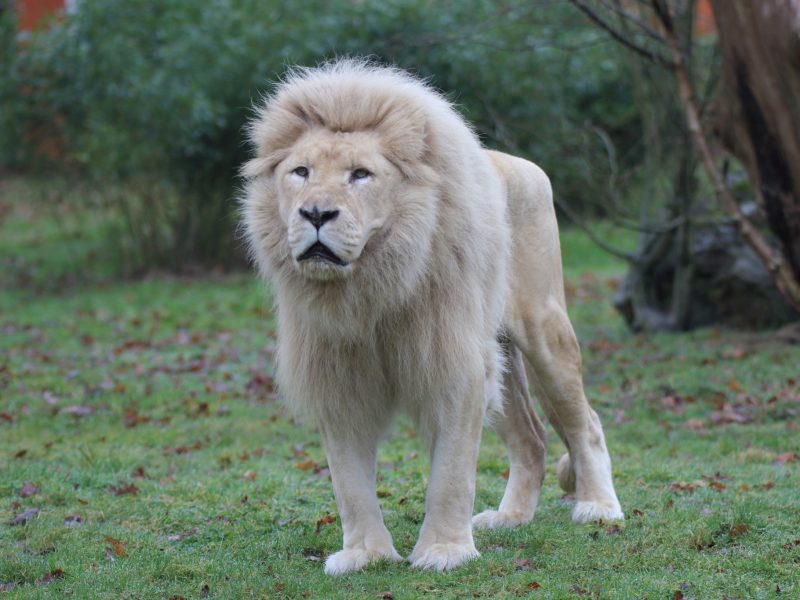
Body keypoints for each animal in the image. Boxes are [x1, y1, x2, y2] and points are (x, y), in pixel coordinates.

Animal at [241, 59, 623, 575]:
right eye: (300, 172)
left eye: (361, 174)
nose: (316, 213)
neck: (370, 286)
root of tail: (522, 164)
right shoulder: (337, 377)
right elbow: (349, 482)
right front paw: (365, 554)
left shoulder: (456, 367)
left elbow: (451, 474)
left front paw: (444, 551)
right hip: (500, 362)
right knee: (532, 438)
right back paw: (510, 518)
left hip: (545, 331)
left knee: (587, 424)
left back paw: (599, 507)